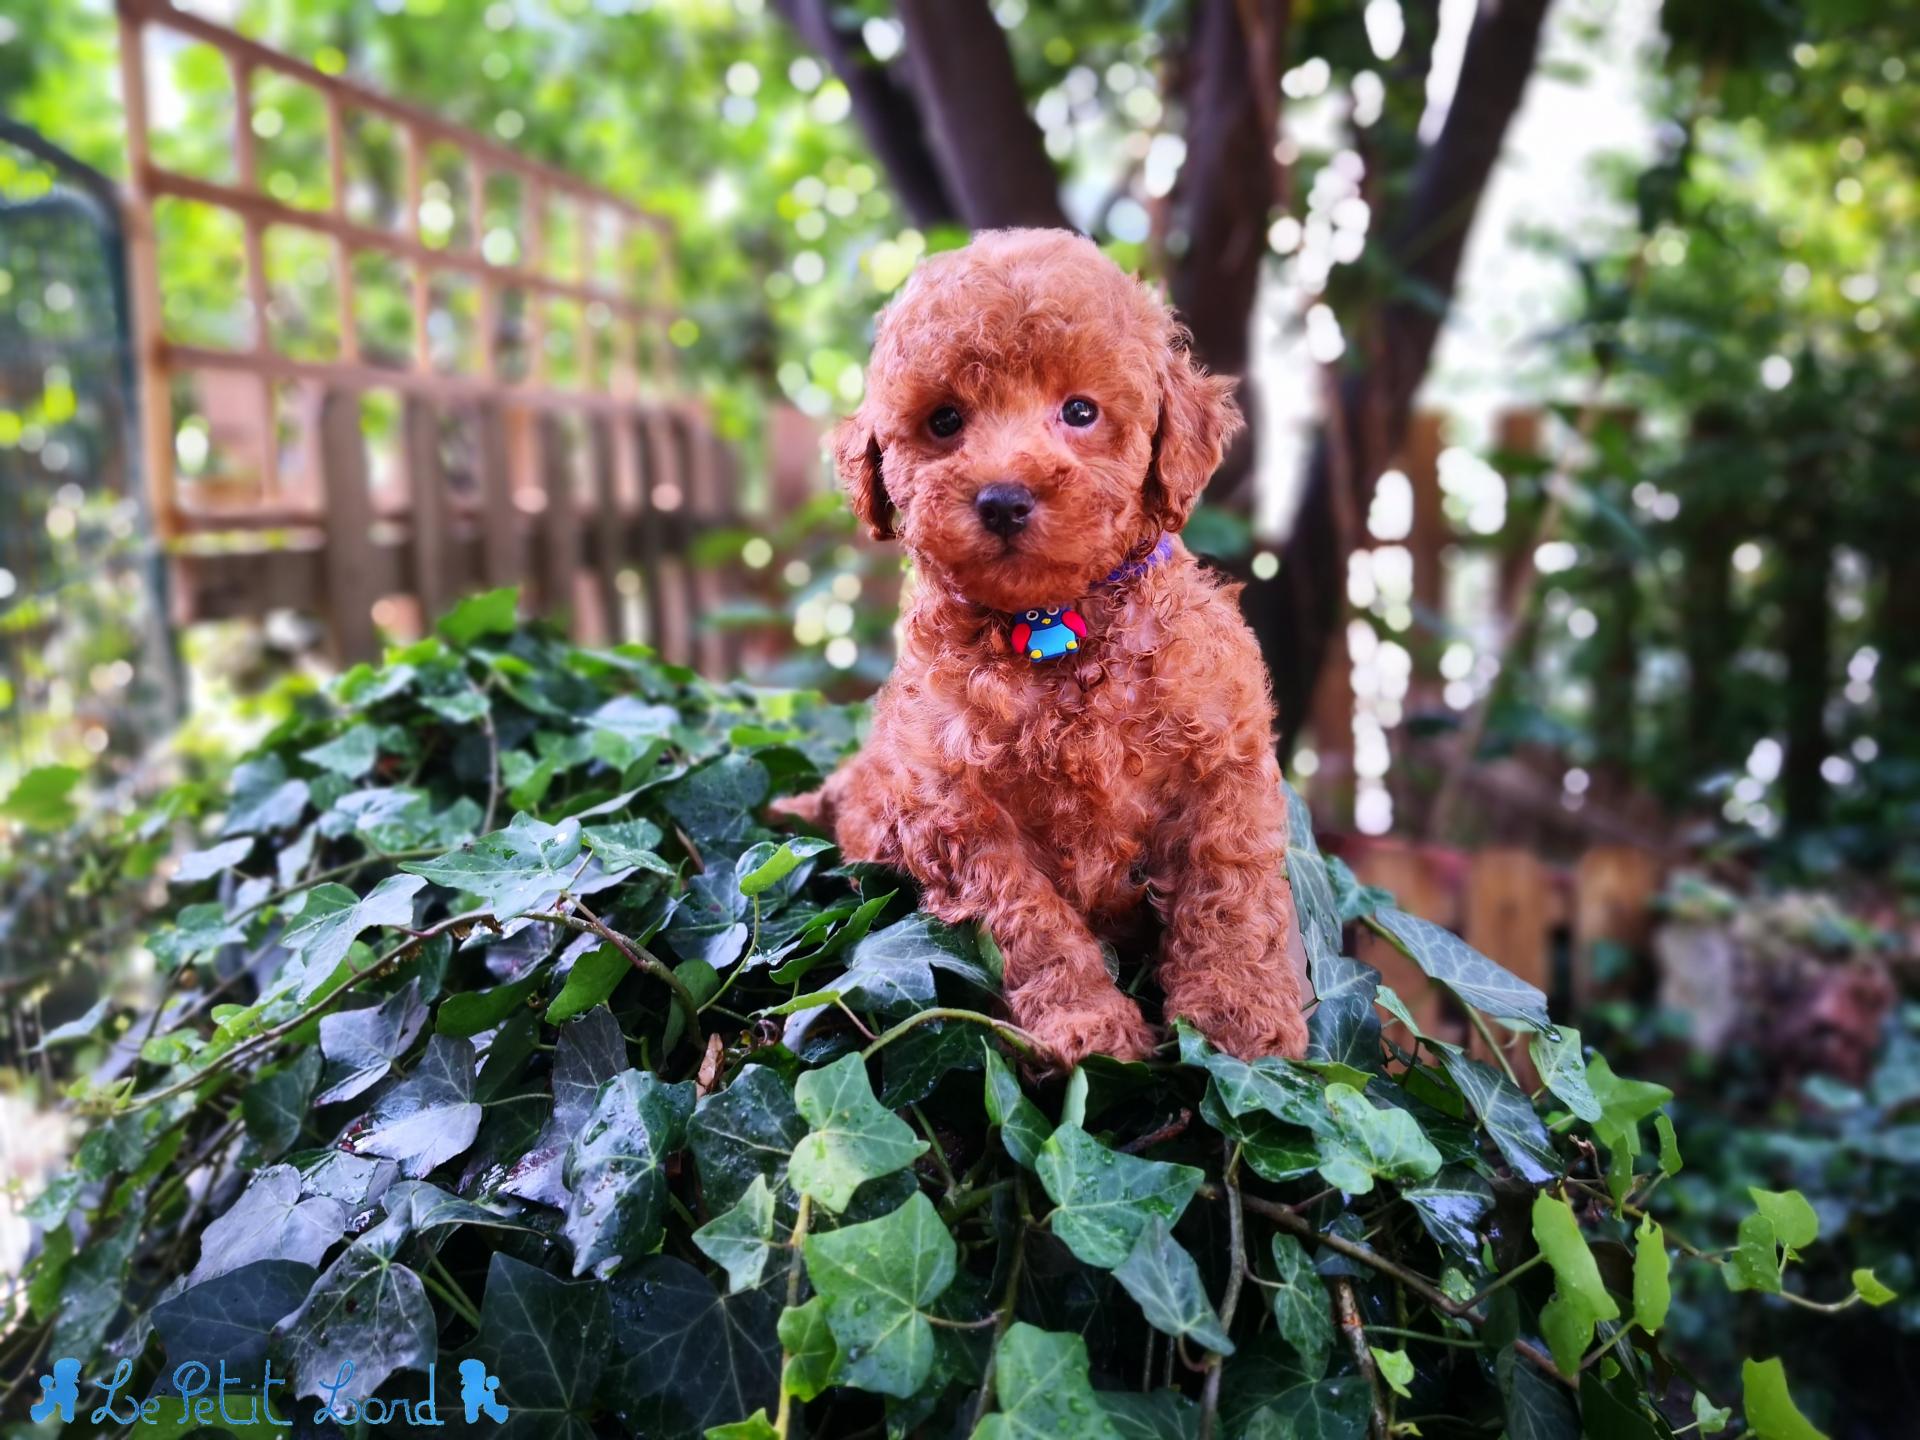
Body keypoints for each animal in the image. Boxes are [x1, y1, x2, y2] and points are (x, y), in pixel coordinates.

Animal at [787, 231, 1313, 1075]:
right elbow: (1031, 921)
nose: (1003, 498)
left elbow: (1228, 891)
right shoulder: (960, 812)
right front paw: (1088, 1027)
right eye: (945, 421)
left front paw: (1239, 1022)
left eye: (1080, 411)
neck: (1053, 621)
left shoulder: (1222, 766)